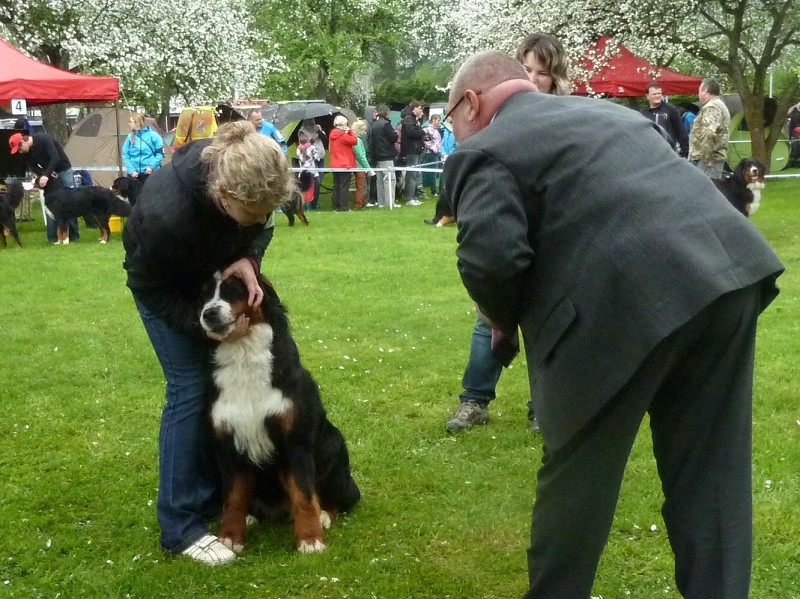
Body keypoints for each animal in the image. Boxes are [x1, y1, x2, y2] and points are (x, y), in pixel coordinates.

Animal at [198, 274, 360, 556]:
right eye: (204, 295)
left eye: (233, 288)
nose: (209, 313)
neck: (243, 354)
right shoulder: (227, 443)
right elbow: (233, 497)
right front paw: (230, 536)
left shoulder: (295, 442)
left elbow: (304, 496)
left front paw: (310, 540)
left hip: (334, 444)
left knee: (340, 498)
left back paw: (324, 515)